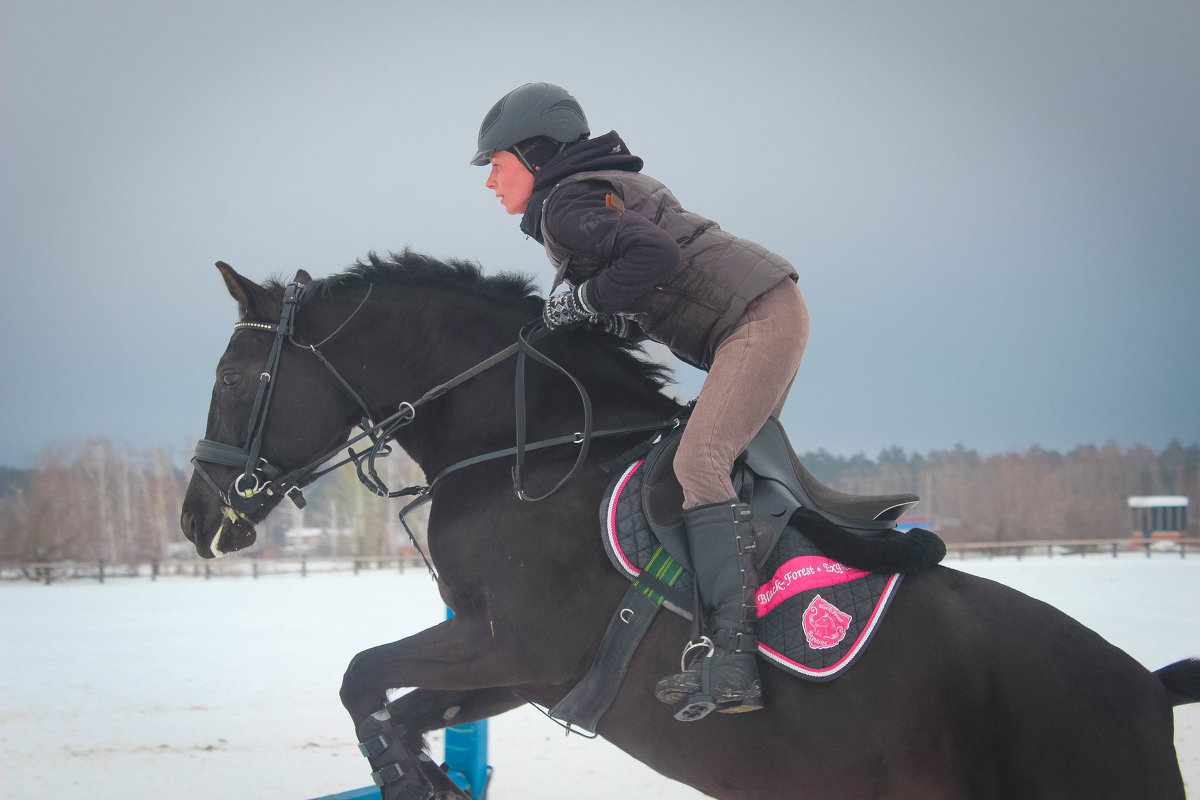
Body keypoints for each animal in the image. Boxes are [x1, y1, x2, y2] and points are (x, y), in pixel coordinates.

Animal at [180, 253, 1200, 800]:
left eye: (232, 378)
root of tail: (1149, 691)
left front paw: (407, 776)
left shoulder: (509, 641)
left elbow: (362, 676)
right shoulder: (519, 670)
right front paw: (417, 767)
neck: (531, 452)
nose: (196, 520)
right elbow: (400, 704)